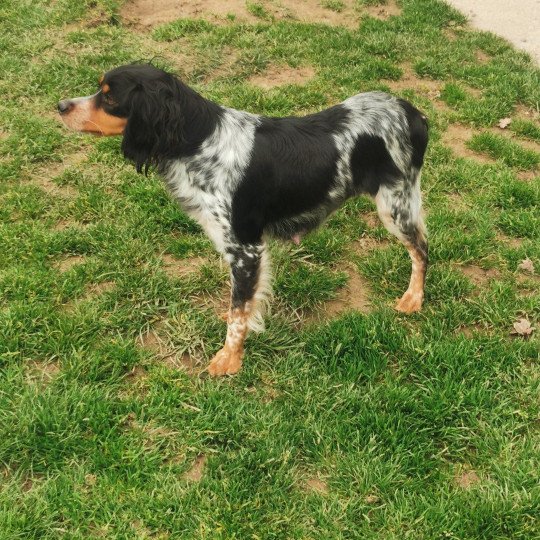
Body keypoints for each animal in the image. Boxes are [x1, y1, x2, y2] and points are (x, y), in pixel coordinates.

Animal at [58, 63, 430, 376]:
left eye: (109, 97)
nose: (60, 105)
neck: (199, 142)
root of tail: (413, 113)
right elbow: (241, 304)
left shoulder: (245, 248)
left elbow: (238, 314)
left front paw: (229, 359)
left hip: (395, 205)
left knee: (422, 249)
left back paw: (413, 299)